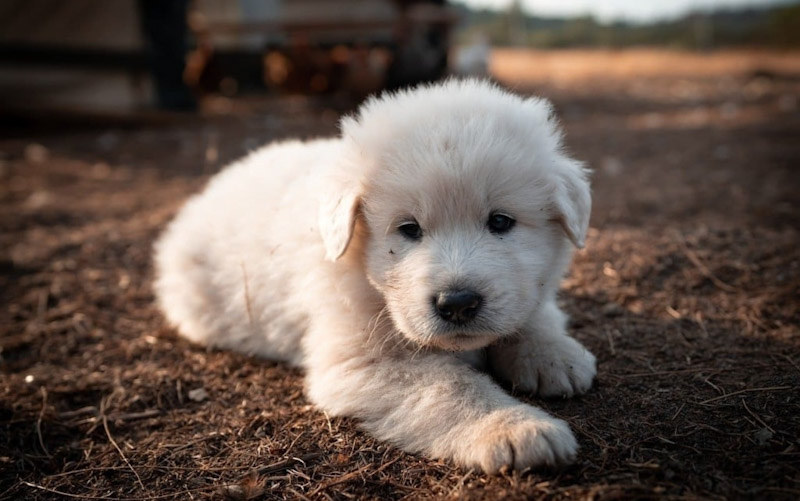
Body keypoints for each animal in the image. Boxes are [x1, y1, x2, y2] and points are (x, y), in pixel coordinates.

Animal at [155, 79, 592, 472]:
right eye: (409, 229)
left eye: (500, 221)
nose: (457, 304)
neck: (368, 282)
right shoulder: (360, 359)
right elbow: (451, 388)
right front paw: (516, 428)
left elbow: (534, 312)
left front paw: (554, 354)